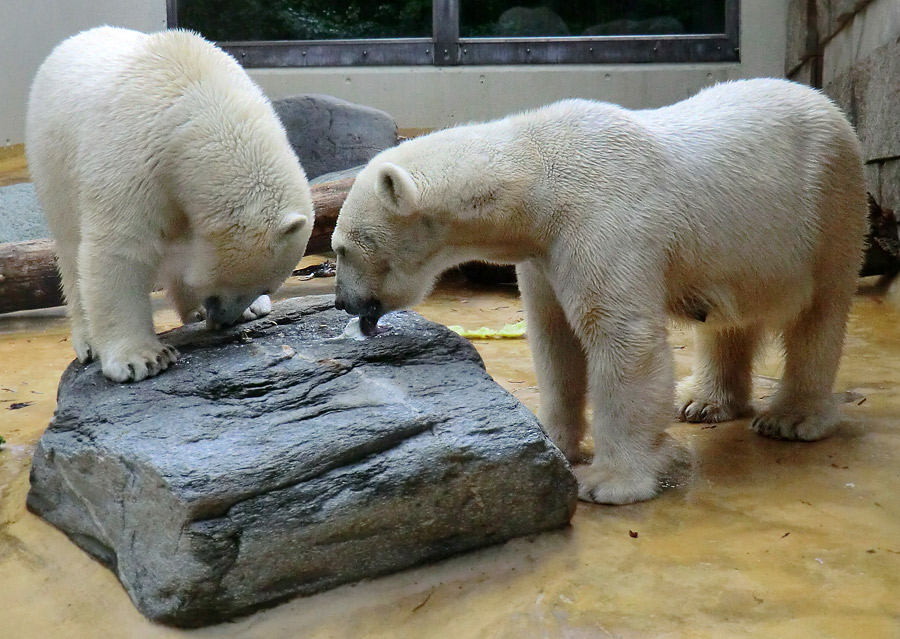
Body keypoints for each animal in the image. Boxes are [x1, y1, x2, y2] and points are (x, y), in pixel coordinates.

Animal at [26, 27, 314, 382]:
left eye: (268, 287)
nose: (226, 318)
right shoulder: (133, 159)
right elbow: (120, 249)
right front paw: (142, 360)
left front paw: (250, 308)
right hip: (54, 162)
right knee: (70, 247)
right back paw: (88, 341)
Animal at [334, 77, 868, 502]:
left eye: (341, 249)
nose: (343, 302)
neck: (539, 173)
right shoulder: (544, 253)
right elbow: (554, 340)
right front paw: (552, 438)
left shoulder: (603, 219)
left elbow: (620, 337)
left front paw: (608, 481)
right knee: (728, 319)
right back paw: (703, 401)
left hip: (827, 205)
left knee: (820, 311)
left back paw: (792, 418)